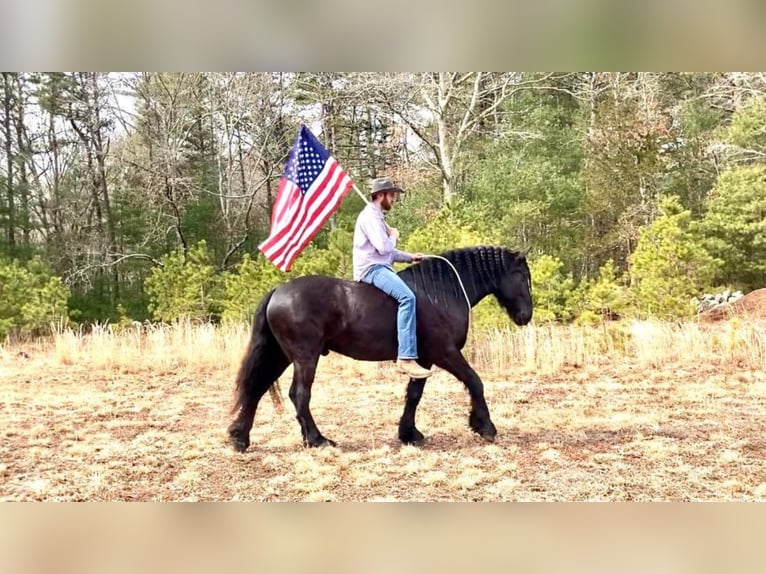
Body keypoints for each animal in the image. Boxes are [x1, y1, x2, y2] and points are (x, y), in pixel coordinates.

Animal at [228, 245, 536, 452]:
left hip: (280, 356)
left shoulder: (423, 360)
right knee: (299, 394)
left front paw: (409, 434)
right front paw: (485, 426)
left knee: (256, 389)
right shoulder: (445, 353)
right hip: (305, 357)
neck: (441, 291)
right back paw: (317, 439)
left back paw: (240, 437)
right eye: (522, 277)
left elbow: (413, 395)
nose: (526, 316)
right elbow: (475, 381)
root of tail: (278, 291)